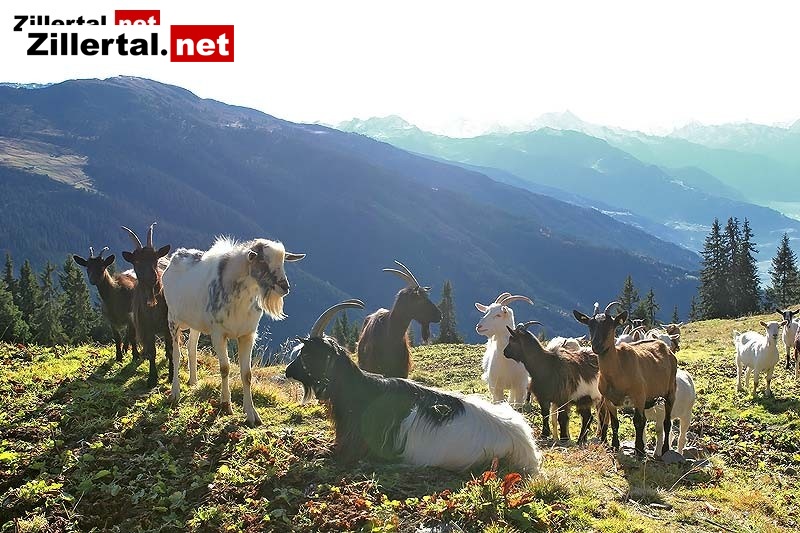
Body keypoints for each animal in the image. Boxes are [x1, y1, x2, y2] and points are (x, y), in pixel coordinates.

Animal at [121, 224, 173, 387]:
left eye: (155, 259)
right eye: (136, 262)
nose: (151, 278)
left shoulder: (168, 327)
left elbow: (171, 350)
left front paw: (171, 375)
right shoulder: (146, 328)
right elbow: (152, 352)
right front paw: (152, 378)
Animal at [162, 236, 305, 426]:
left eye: (282, 261)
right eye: (262, 260)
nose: (285, 287)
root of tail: (176, 256)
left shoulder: (247, 335)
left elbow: (247, 374)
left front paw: (252, 414)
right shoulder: (218, 334)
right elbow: (225, 368)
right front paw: (226, 405)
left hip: (195, 324)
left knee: (191, 348)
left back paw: (193, 382)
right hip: (173, 319)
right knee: (176, 354)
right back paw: (175, 392)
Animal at [574, 302, 677, 457]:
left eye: (610, 325)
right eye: (590, 325)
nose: (596, 346)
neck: (618, 372)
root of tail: (666, 348)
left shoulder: (639, 396)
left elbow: (638, 422)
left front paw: (639, 450)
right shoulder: (608, 399)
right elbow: (615, 423)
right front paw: (615, 446)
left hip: (670, 391)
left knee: (666, 422)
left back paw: (665, 449)